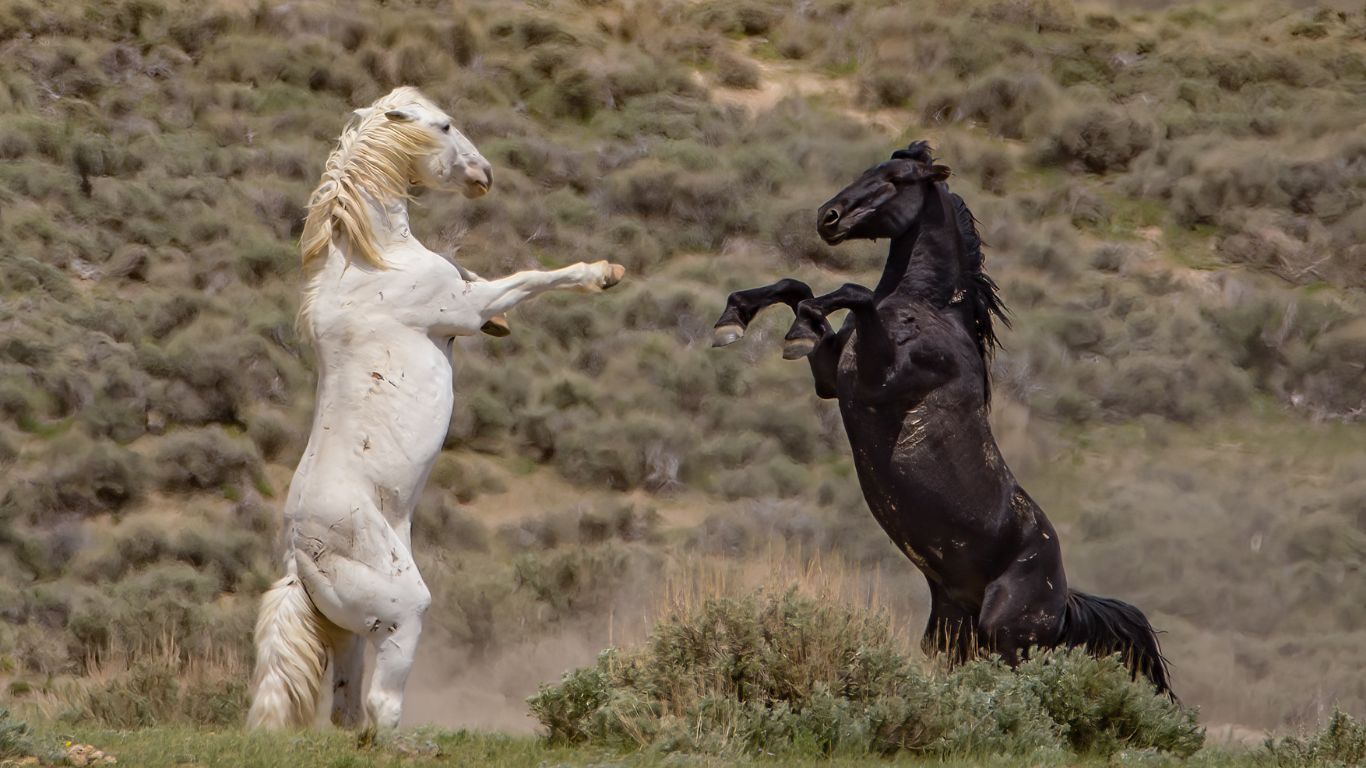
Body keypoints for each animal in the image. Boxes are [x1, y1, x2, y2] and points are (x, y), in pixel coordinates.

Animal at [245, 88, 625, 727]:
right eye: (444, 125)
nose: (483, 175)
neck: (372, 263)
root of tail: (299, 562)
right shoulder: (464, 306)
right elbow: (528, 278)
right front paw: (602, 273)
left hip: (348, 634)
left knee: (346, 710)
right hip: (402, 614)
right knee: (381, 703)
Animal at [715, 138, 1174, 694]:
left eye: (897, 180)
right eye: (867, 170)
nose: (828, 218)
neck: (926, 308)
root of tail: (1063, 602)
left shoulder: (882, 378)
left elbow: (851, 293)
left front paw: (789, 325)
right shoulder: (832, 381)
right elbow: (798, 286)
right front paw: (735, 318)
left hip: (1007, 638)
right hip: (952, 635)